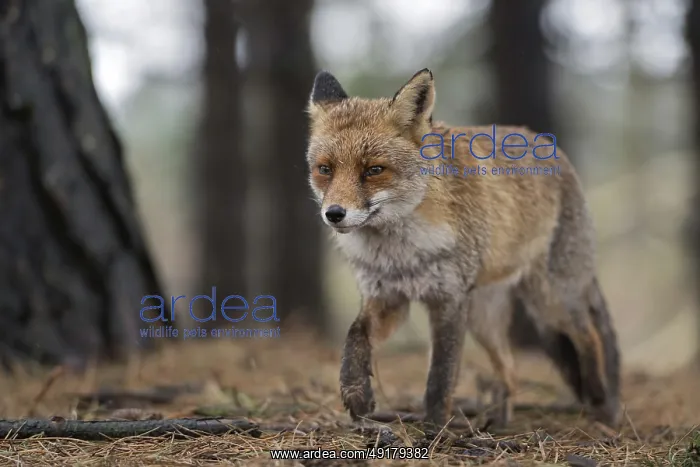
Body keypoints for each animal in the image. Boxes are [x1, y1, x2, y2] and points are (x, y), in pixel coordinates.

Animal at [304, 68, 621, 429]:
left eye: (373, 170)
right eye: (325, 169)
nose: (334, 213)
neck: (400, 255)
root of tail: (552, 148)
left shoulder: (449, 299)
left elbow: (441, 375)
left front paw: (434, 427)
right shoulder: (388, 298)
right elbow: (354, 336)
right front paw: (356, 392)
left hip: (549, 300)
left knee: (588, 336)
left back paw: (600, 400)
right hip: (485, 320)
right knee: (511, 371)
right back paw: (499, 421)